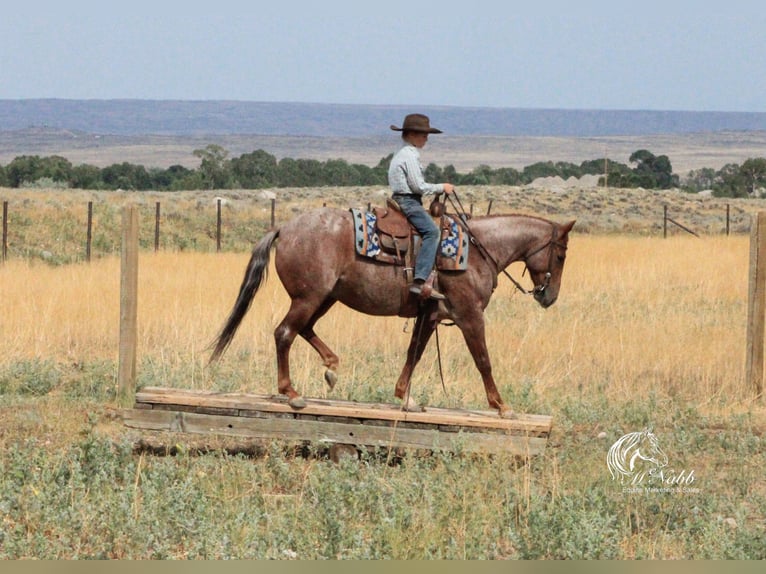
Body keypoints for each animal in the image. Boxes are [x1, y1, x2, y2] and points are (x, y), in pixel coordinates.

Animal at [210, 202, 576, 418]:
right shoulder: (469, 315)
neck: (477, 251)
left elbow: (414, 353)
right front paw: (501, 405)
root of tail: (284, 229)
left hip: (324, 297)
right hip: (309, 297)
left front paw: (404, 397)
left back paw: (331, 366)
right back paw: (292, 393)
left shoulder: (430, 316)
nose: (550, 297)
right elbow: (483, 359)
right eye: (560, 256)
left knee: (303, 329)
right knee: (285, 332)